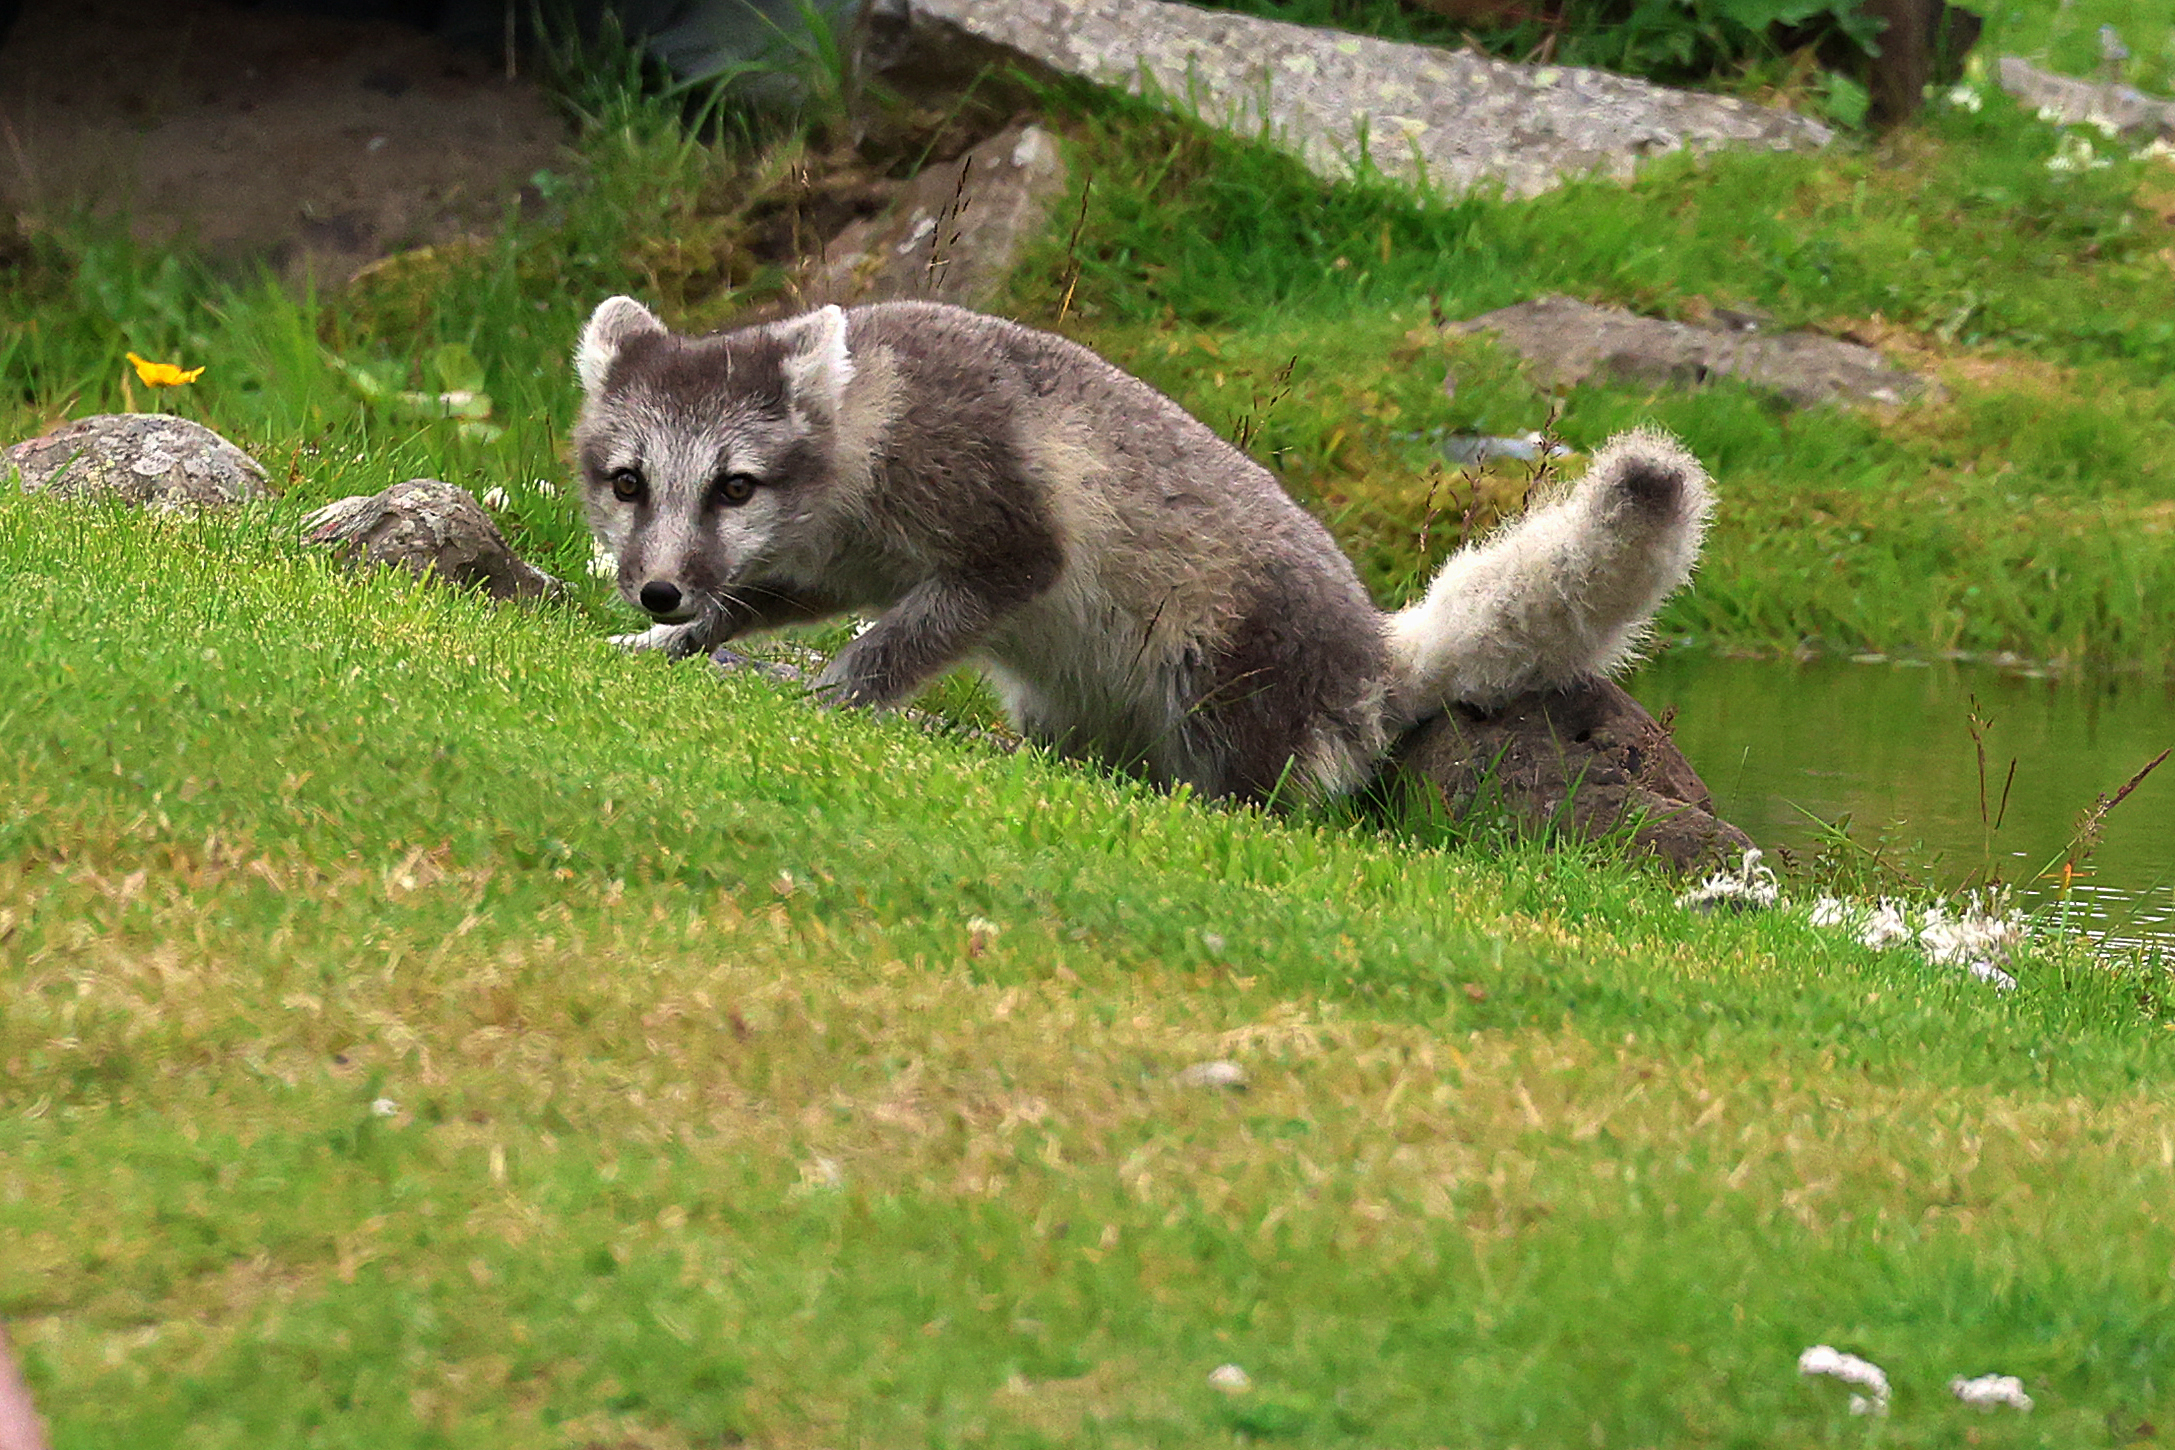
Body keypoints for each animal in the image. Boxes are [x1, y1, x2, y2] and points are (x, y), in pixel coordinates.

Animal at [573, 296, 1714, 803]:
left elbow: (898, 639)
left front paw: (835, 697)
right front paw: (665, 647)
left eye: (734, 486)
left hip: (1223, 684)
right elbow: (758, 602)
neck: (865, 437)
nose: (658, 592)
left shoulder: (1005, 540)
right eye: (628, 483)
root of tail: (1376, 655)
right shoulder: (838, 563)